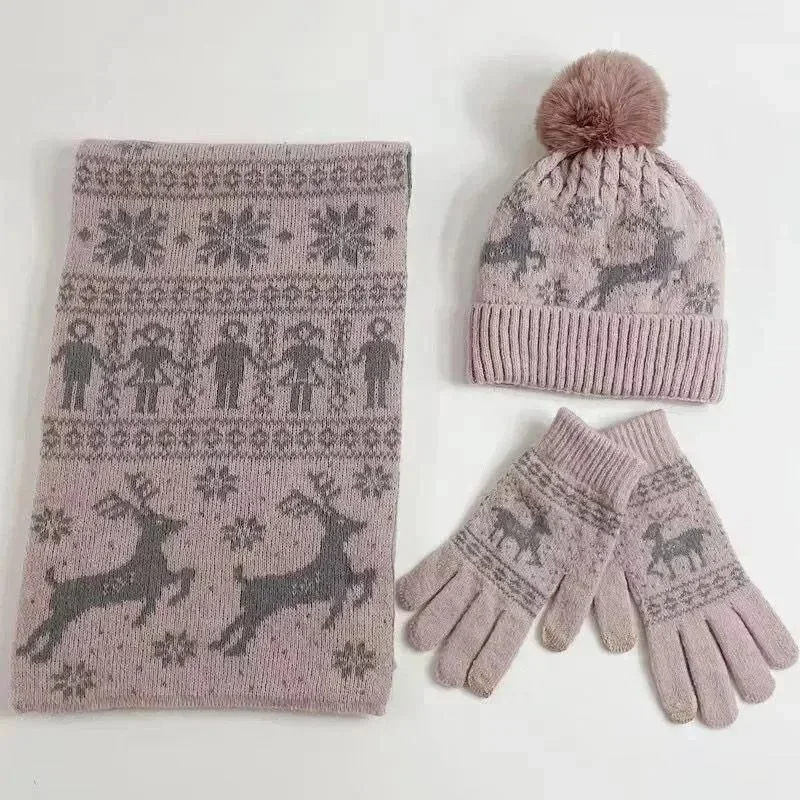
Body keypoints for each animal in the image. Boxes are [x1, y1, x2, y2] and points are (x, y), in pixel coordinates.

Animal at [16, 472, 195, 663]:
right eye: (160, 520)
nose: (181, 522)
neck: (149, 555)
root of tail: (56, 584)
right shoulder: (158, 581)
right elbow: (186, 572)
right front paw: (174, 599)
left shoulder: (158, 584)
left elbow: (182, 575)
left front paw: (143, 618)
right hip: (66, 610)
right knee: (52, 629)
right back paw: (39, 656)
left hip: (66, 611)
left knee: (48, 627)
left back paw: (29, 652)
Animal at [209, 471, 374, 657]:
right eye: (341, 521)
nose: (361, 524)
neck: (333, 555)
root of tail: (245, 581)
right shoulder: (338, 585)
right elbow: (339, 602)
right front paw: (329, 621)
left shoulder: (348, 578)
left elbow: (368, 574)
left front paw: (359, 601)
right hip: (260, 608)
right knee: (247, 627)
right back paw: (233, 650)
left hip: (253, 608)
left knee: (239, 624)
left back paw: (220, 646)